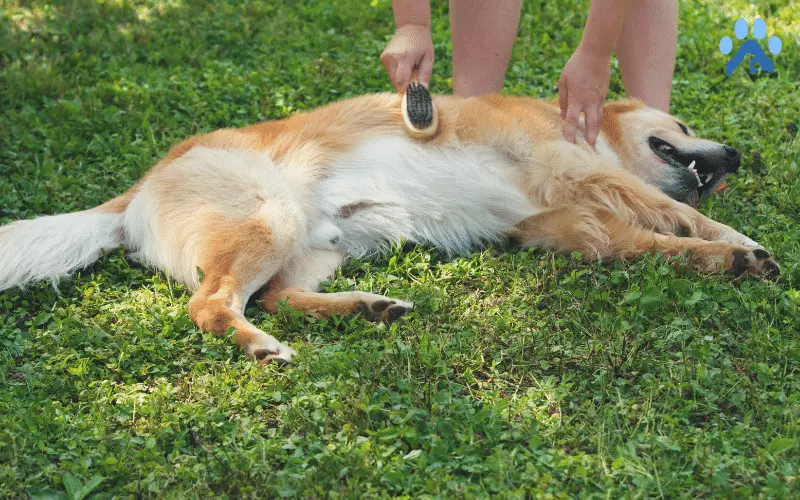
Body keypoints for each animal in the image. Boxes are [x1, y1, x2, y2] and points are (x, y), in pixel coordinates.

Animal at [0, 93, 776, 364]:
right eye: (682, 125)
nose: (739, 154)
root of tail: (136, 190)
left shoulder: (576, 225)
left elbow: (656, 242)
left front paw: (722, 260)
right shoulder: (585, 177)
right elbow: (685, 215)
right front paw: (740, 245)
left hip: (321, 246)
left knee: (277, 296)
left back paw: (368, 310)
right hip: (270, 217)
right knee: (212, 305)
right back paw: (260, 347)